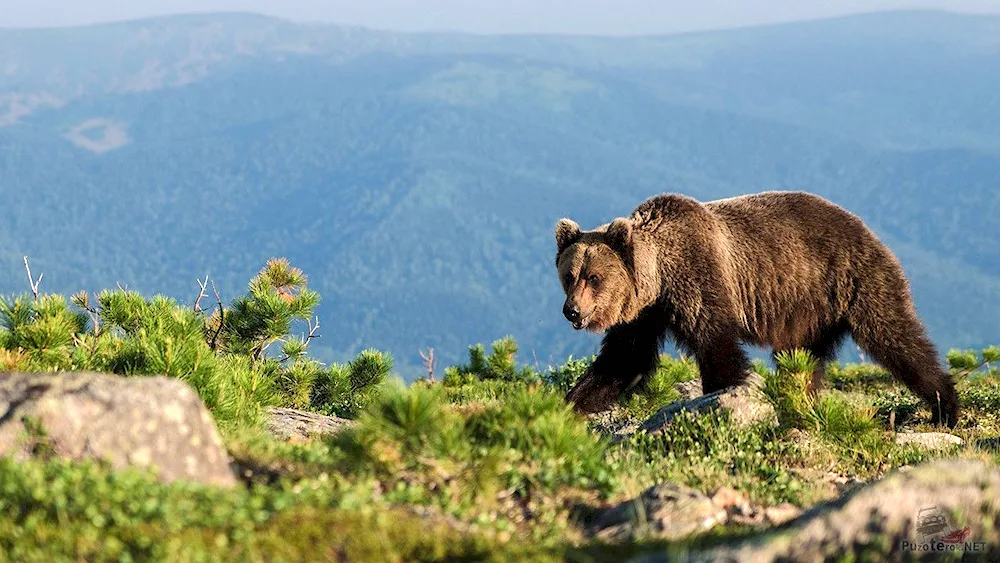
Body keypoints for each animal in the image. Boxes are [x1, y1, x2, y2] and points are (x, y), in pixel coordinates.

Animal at [556, 192, 960, 430]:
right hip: (811, 313)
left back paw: (944, 407)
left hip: (854, 281)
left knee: (895, 336)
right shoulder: (644, 316)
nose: (572, 311)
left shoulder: (700, 278)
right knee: (803, 363)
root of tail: (867, 229)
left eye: (594, 277)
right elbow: (622, 361)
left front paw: (724, 402)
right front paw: (568, 406)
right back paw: (799, 407)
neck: (660, 278)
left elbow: (718, 349)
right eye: (569, 275)